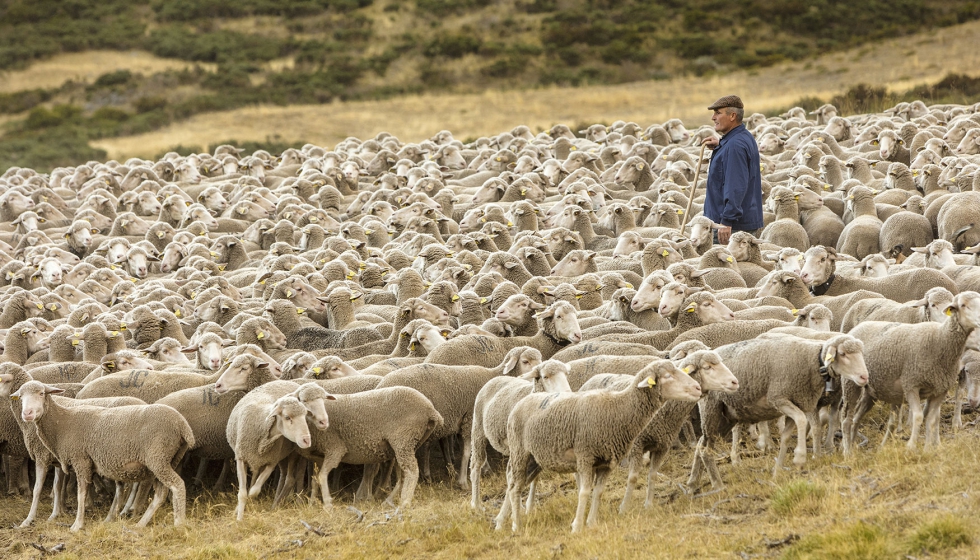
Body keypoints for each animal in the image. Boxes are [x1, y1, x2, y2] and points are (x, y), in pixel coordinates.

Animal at [13, 380, 195, 531]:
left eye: (41, 393)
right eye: (20, 397)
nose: (27, 413)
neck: (62, 423)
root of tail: (183, 426)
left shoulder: (81, 461)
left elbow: (80, 494)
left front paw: (77, 525)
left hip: (158, 458)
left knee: (177, 485)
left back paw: (179, 524)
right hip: (169, 459)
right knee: (161, 493)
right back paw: (140, 524)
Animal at [499, 359, 701, 533]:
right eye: (667, 376)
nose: (698, 388)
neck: (618, 410)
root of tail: (524, 400)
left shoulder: (606, 463)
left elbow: (598, 492)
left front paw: (591, 522)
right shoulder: (585, 457)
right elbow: (584, 492)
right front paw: (577, 526)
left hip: (535, 459)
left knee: (515, 484)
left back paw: (504, 521)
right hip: (520, 452)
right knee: (515, 487)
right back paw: (517, 525)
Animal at [689, 334, 868, 490]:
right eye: (843, 354)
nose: (864, 377)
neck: (812, 362)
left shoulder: (796, 402)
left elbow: (786, 436)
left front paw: (778, 470)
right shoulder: (778, 398)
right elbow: (802, 420)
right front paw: (799, 457)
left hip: (725, 417)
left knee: (701, 443)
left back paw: (693, 482)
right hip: (711, 408)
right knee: (705, 449)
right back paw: (717, 485)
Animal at [841, 291, 980, 453]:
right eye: (963, 305)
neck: (940, 339)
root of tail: (858, 327)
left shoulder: (939, 390)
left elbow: (932, 419)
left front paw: (928, 449)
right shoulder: (911, 384)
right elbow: (918, 416)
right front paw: (911, 446)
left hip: (870, 390)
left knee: (856, 418)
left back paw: (852, 445)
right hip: (850, 383)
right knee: (846, 419)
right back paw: (847, 452)